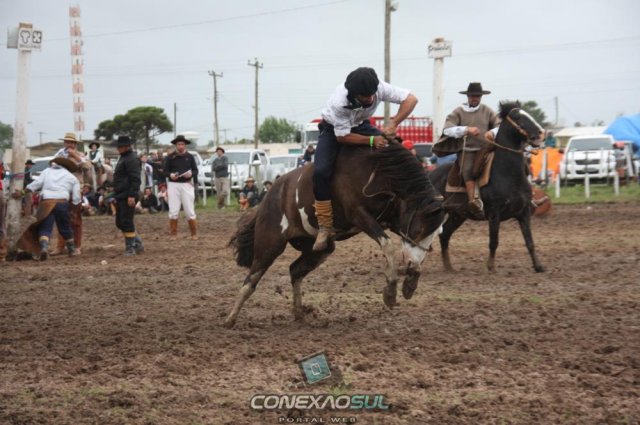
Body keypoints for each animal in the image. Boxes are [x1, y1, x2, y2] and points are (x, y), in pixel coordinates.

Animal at [225, 142, 445, 328]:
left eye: (435, 233)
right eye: (419, 229)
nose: (410, 264)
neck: (379, 172)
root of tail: (268, 198)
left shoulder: (392, 219)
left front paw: (410, 284)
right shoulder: (360, 215)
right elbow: (388, 245)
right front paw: (391, 292)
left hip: (318, 248)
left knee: (295, 270)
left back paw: (299, 314)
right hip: (269, 245)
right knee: (251, 281)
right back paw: (230, 318)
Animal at [428, 101, 545, 273]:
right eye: (517, 117)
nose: (540, 133)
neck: (508, 174)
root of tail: (430, 174)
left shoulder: (524, 213)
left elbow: (530, 241)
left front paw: (538, 266)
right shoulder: (494, 214)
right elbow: (494, 241)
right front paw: (490, 266)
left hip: (458, 215)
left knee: (444, 235)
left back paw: (449, 267)